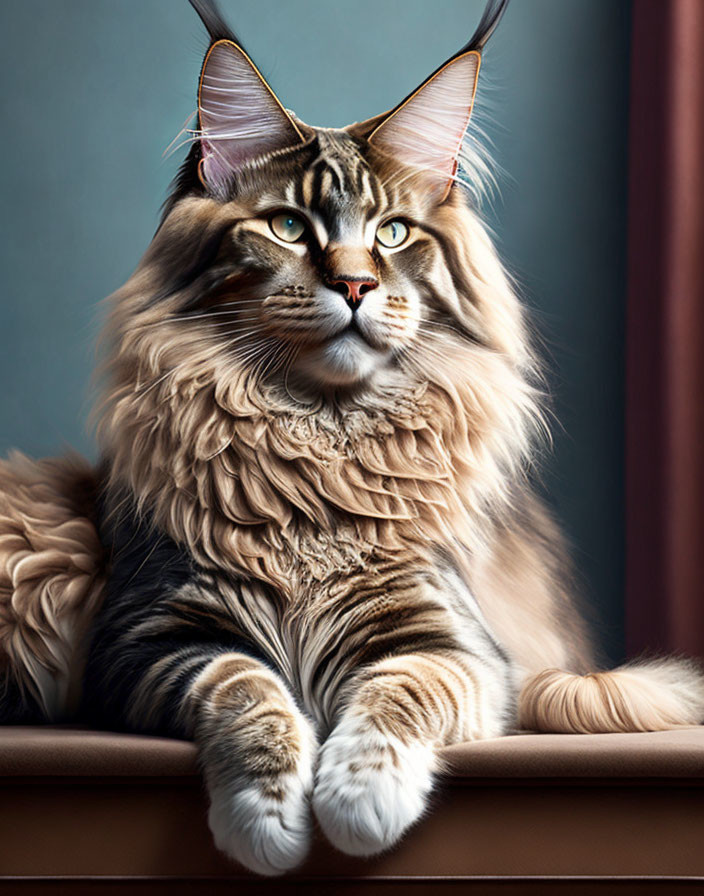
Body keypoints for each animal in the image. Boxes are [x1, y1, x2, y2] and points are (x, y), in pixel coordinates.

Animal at [1, 0, 704, 876]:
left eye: (394, 233)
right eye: (287, 225)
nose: (356, 283)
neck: (317, 448)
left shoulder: (451, 643)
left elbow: (398, 697)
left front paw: (359, 803)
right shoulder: (153, 636)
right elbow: (245, 691)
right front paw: (268, 821)